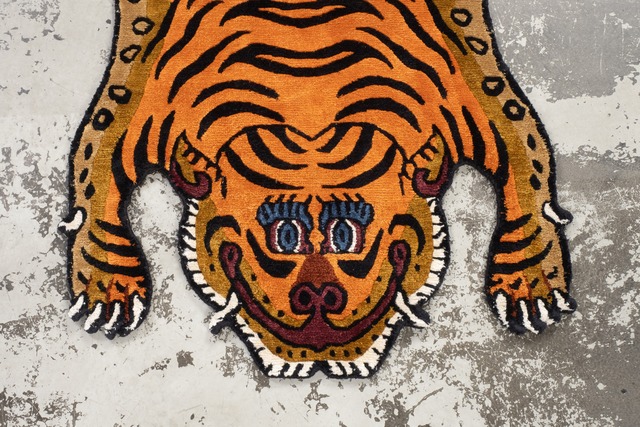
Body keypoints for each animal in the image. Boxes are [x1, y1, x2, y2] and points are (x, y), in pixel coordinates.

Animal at [60, 0, 576, 378]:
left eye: (346, 235)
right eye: (282, 236)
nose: (318, 295)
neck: (308, 102)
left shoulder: (477, 97)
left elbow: (525, 156)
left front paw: (529, 280)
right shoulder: (136, 105)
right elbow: (95, 165)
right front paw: (109, 284)